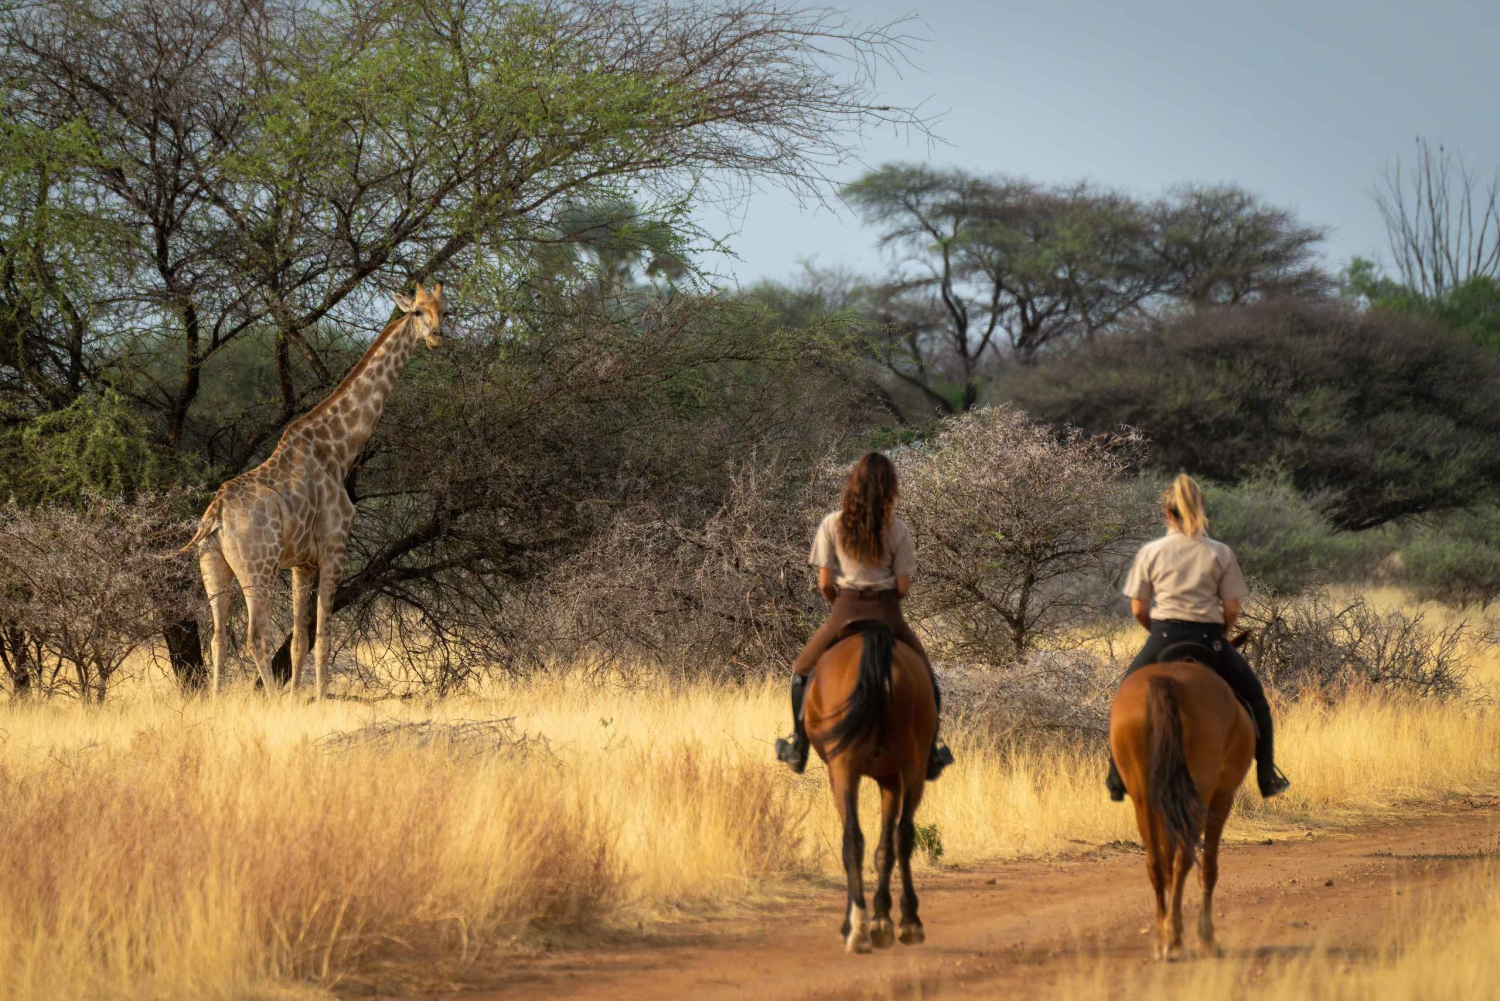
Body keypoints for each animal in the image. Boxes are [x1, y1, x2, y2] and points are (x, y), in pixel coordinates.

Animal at [804, 622, 937, 954]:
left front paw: (871, 919)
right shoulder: (890, 777)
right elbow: (885, 848)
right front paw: (882, 920)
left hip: (843, 767)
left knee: (854, 838)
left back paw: (859, 928)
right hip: (912, 767)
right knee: (901, 835)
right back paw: (904, 923)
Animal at [1108, 632, 1256, 961]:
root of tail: (1165, 682)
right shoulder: (1221, 799)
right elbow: (1209, 867)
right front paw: (1207, 938)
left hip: (1145, 798)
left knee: (1157, 862)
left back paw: (1164, 939)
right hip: (1197, 797)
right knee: (1184, 860)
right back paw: (1176, 939)